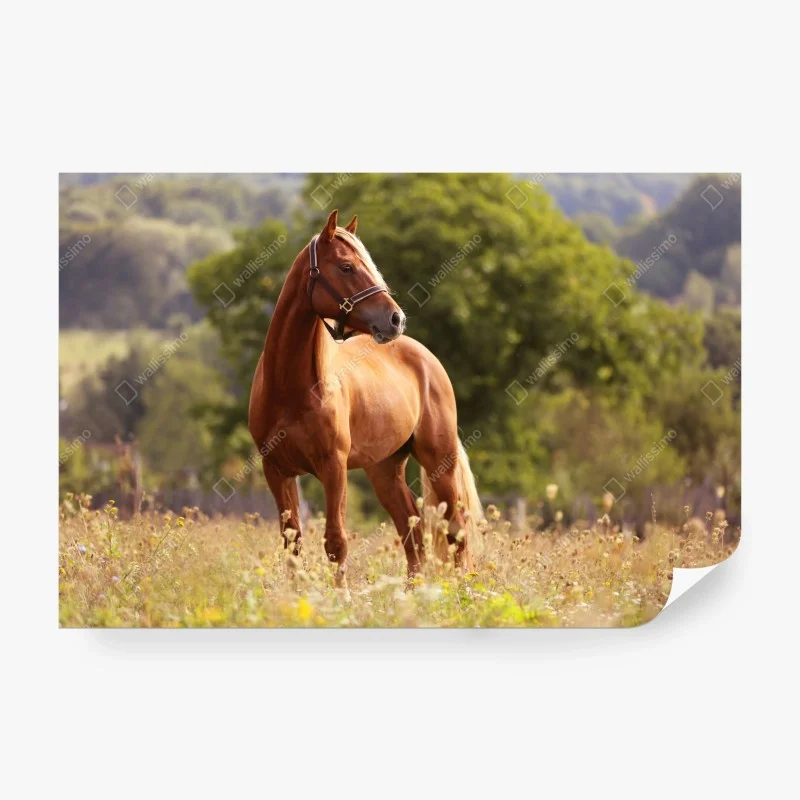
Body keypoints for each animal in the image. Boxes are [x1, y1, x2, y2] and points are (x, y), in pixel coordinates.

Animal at [248, 209, 482, 590]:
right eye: (346, 267)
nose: (395, 319)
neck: (291, 390)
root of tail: (425, 357)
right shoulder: (277, 470)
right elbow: (292, 542)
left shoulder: (333, 467)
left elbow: (336, 541)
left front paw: (340, 597)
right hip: (384, 470)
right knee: (412, 532)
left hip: (439, 461)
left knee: (455, 531)